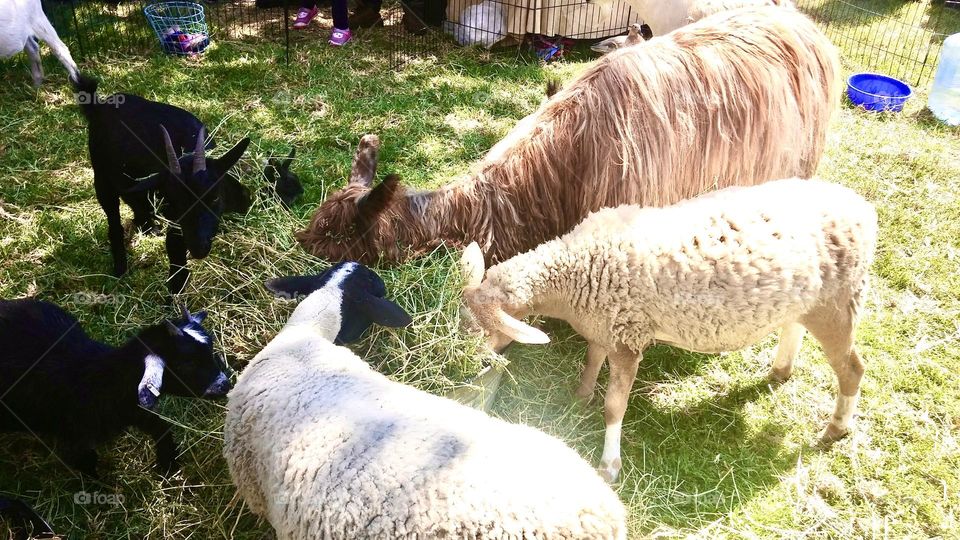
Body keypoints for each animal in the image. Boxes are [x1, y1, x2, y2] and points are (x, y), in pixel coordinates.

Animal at [0, 299, 231, 476]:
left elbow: (158, 425)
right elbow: (86, 461)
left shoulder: (132, 409)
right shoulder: (74, 436)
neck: (98, 382)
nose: (225, 385)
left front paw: (168, 464)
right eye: (187, 364)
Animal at [72, 75, 251, 294]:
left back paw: (148, 227)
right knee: (114, 219)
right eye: (175, 202)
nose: (198, 248)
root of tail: (99, 106)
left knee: (136, 201)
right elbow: (177, 263)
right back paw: (120, 268)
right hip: (102, 179)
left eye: (215, 197)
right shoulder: (176, 224)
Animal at [460, 179, 878, 483]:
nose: (466, 363)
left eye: (483, 330)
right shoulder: (605, 325)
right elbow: (591, 360)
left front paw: (609, 465)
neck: (575, 268)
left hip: (840, 302)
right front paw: (580, 396)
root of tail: (863, 209)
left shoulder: (628, 337)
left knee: (852, 369)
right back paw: (780, 371)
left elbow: (615, 407)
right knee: (794, 328)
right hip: (805, 299)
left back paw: (836, 428)